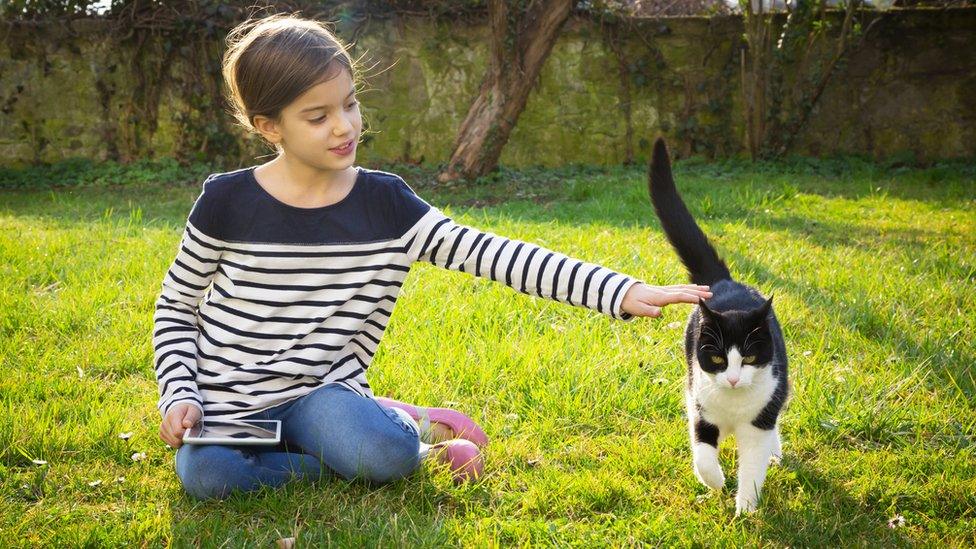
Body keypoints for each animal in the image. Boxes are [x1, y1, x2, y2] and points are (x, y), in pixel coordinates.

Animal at [644, 138, 788, 512]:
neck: (734, 405)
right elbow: (703, 453)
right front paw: (717, 482)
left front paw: (745, 509)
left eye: (749, 358)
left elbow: (753, 465)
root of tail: (724, 283)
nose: (734, 379)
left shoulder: (758, 423)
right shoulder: (701, 406)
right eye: (719, 359)